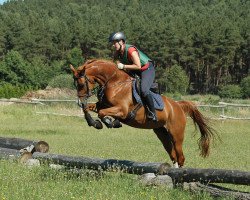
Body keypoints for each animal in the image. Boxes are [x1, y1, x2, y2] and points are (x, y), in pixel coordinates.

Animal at [69, 59, 216, 167]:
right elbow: (89, 109)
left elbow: (101, 113)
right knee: (173, 155)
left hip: (176, 133)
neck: (115, 82)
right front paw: (95, 123)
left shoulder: (122, 110)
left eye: (81, 84)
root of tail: (178, 105)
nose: (79, 101)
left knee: (180, 157)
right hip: (162, 133)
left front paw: (110, 122)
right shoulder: (103, 105)